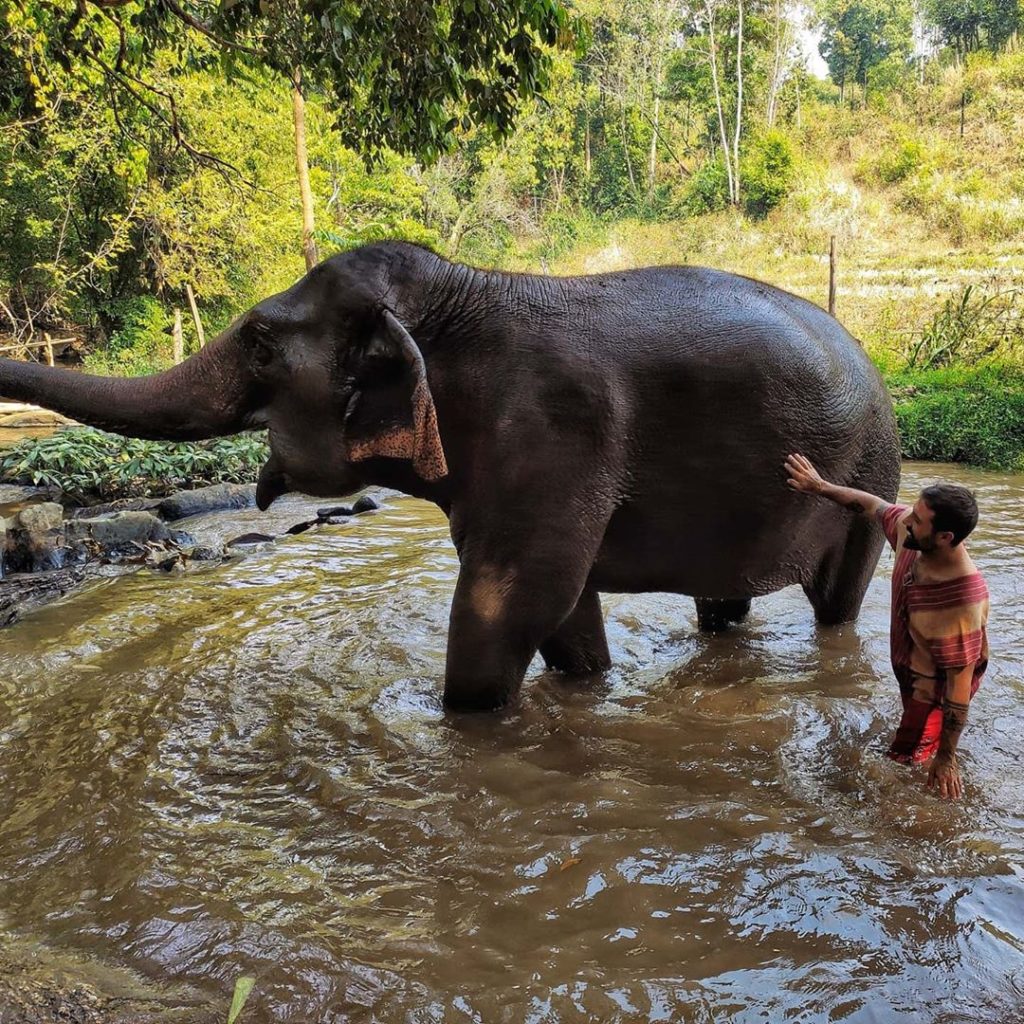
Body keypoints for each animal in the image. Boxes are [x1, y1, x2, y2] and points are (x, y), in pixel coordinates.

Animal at [0, 242, 900, 710]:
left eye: (259, 343)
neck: (467, 292)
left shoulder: (554, 435)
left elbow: (514, 603)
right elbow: (566, 610)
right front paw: (587, 686)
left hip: (874, 474)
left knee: (839, 600)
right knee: (724, 603)